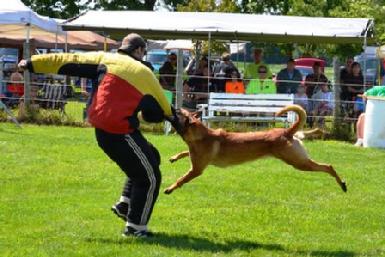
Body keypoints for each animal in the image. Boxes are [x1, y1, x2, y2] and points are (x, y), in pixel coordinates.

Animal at [164, 104, 346, 194]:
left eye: (178, 113)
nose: (173, 107)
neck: (200, 135)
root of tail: (286, 132)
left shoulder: (196, 170)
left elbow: (182, 179)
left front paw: (169, 189)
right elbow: (184, 152)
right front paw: (174, 157)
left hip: (298, 162)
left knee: (327, 167)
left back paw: (342, 184)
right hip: (299, 159)